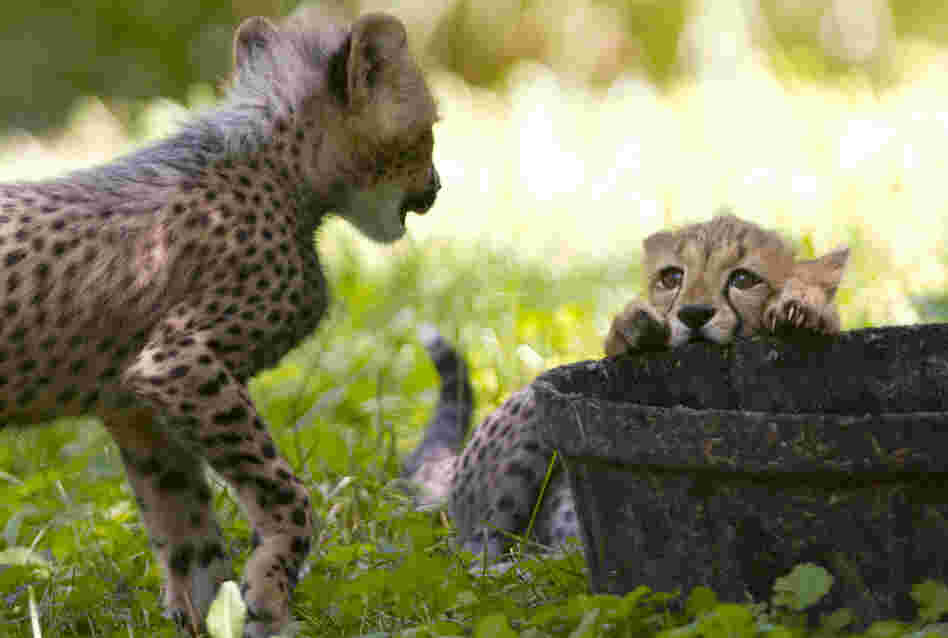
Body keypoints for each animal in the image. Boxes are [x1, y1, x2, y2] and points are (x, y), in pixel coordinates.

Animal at [0, 10, 439, 637]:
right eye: (428, 131)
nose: (435, 187)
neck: (282, 170)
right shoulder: (177, 363)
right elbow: (287, 494)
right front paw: (270, 591)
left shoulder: (136, 409)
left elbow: (189, 534)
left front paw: (222, 611)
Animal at [406, 214, 849, 560]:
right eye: (672, 277)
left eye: (743, 278)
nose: (693, 313)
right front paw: (639, 328)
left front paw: (800, 310)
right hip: (528, 415)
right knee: (475, 555)